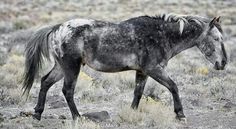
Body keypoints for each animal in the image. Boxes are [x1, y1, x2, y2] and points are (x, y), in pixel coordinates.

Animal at [21, 13, 227, 121]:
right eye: (217, 39)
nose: (223, 63)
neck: (161, 36)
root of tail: (57, 28)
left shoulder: (142, 72)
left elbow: (138, 92)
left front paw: (132, 112)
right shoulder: (154, 69)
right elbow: (173, 86)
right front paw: (180, 114)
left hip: (61, 67)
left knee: (45, 82)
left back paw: (37, 114)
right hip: (72, 67)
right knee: (67, 91)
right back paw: (78, 117)